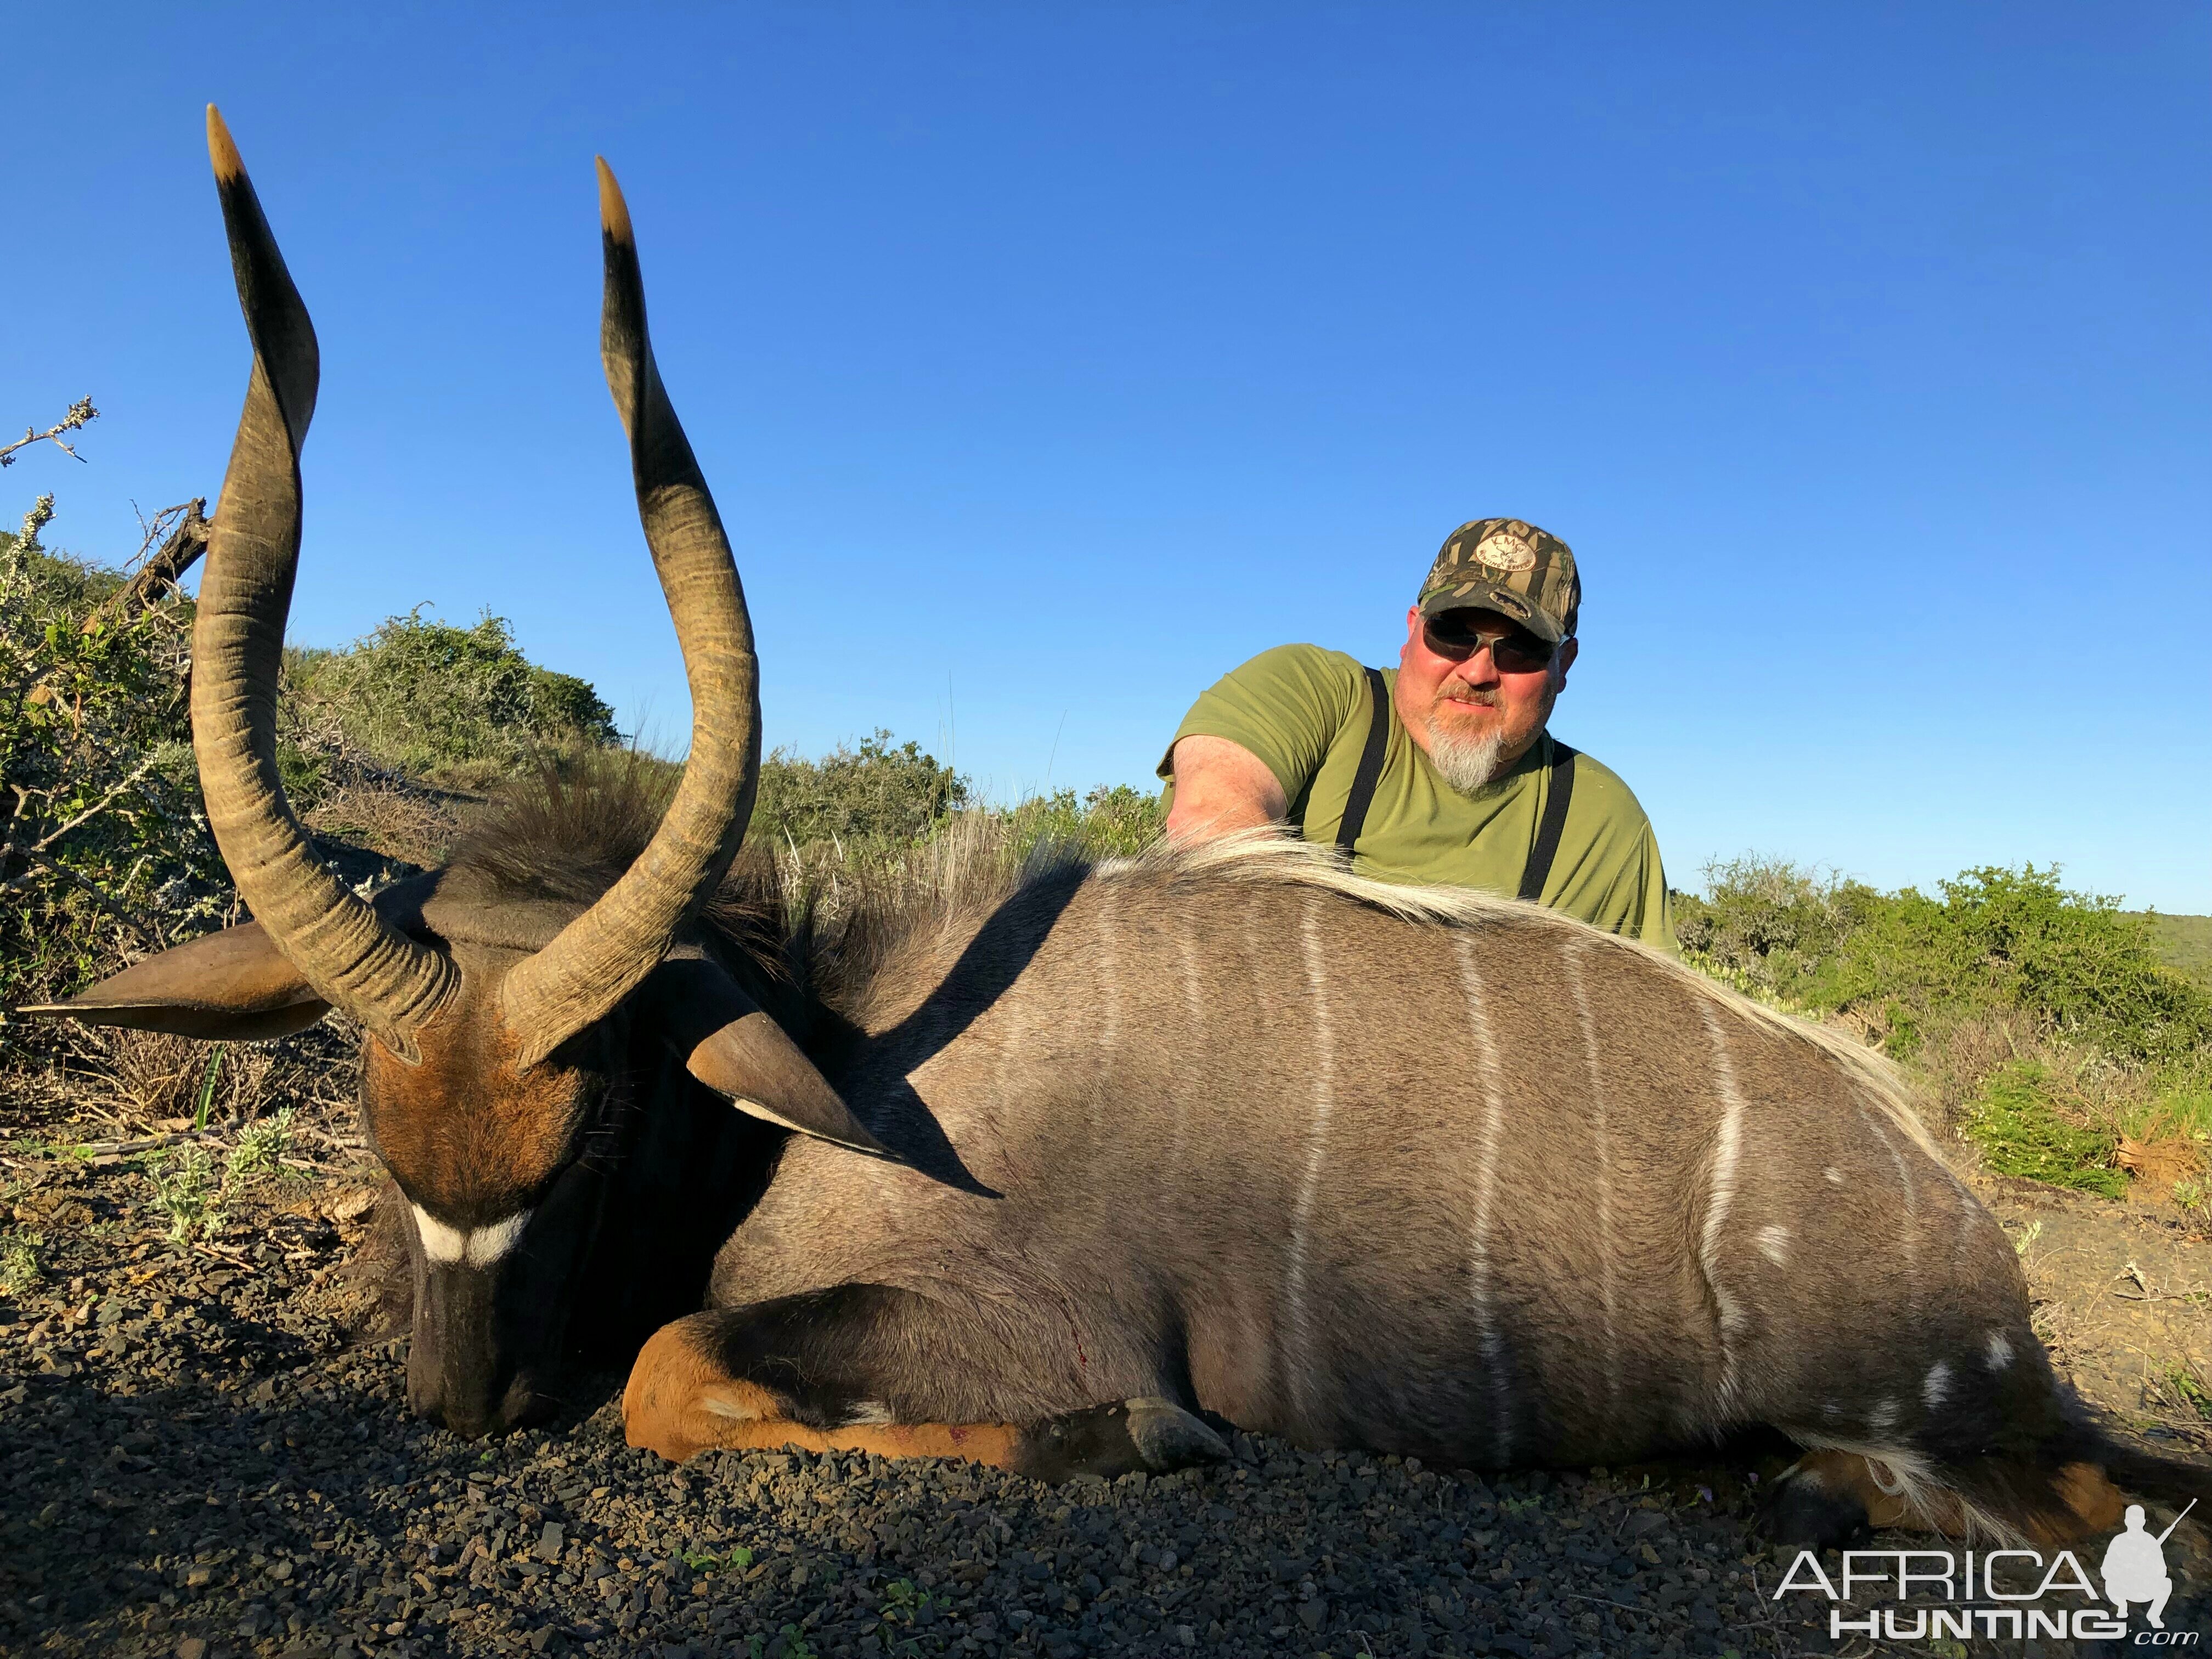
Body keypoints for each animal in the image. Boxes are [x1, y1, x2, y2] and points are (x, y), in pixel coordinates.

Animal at [26, 110, 2203, 1557]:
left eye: (601, 1110)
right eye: (366, 1110)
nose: (462, 1399)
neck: (855, 1048)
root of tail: (1969, 1239)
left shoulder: (1010, 1312)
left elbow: (676, 1368)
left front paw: (1135, 1442)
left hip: (1945, 1426)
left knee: (2075, 1501)